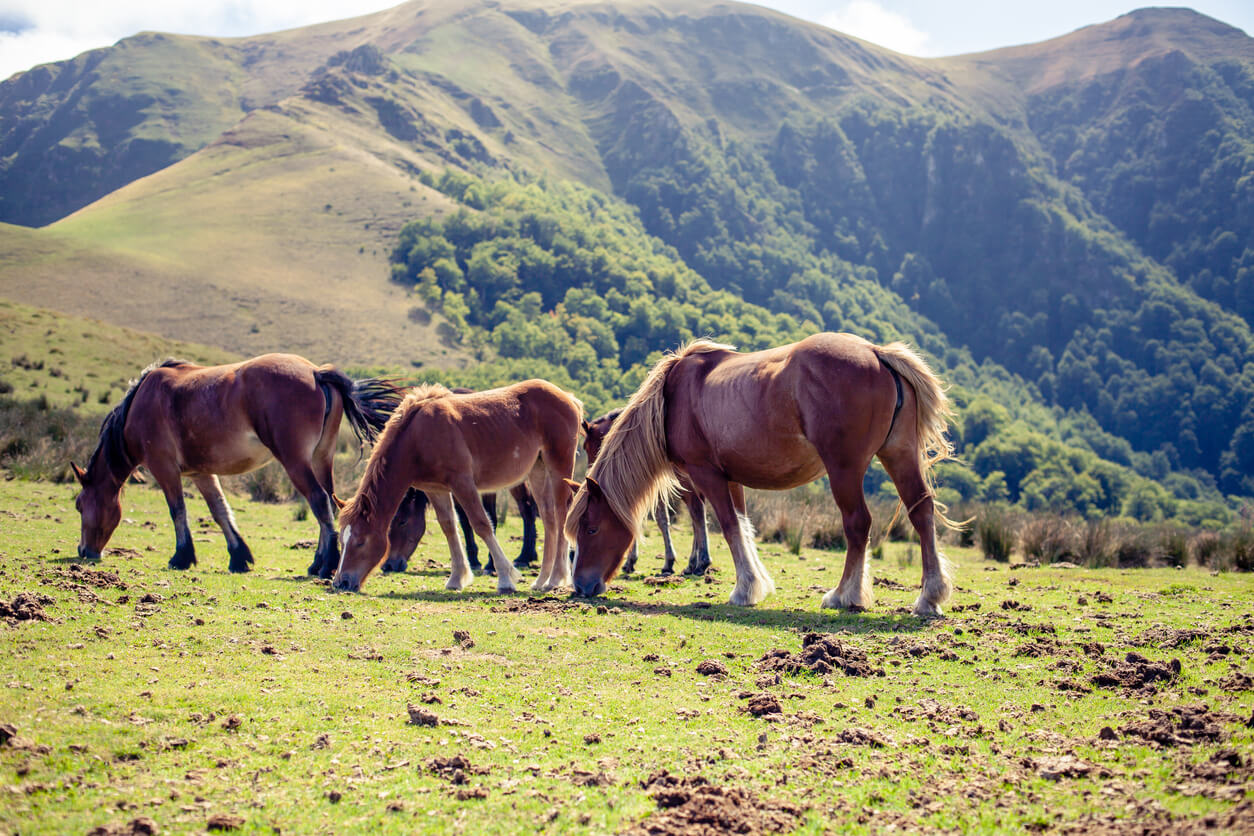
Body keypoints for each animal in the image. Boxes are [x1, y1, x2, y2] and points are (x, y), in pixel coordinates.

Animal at [71, 353, 401, 576]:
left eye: (79, 505)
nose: (84, 551)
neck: (142, 402)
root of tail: (315, 372)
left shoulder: (164, 468)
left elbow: (178, 510)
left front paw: (181, 556)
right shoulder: (201, 473)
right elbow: (220, 510)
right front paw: (238, 556)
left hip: (295, 462)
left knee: (319, 500)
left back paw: (325, 564)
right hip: (321, 459)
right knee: (330, 504)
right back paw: (318, 562)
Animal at [336, 378, 584, 594]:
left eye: (360, 541)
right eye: (341, 540)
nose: (341, 582)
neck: (418, 436)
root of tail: (568, 398)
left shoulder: (462, 482)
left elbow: (481, 524)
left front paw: (505, 577)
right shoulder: (435, 489)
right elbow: (449, 526)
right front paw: (456, 578)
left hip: (558, 467)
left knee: (561, 514)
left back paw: (555, 579)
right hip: (537, 470)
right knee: (549, 518)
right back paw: (541, 580)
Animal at [581, 408, 712, 579]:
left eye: (586, 446)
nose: (592, 474)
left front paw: (665, 562)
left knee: (697, 512)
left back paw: (701, 563)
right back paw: (692, 564)